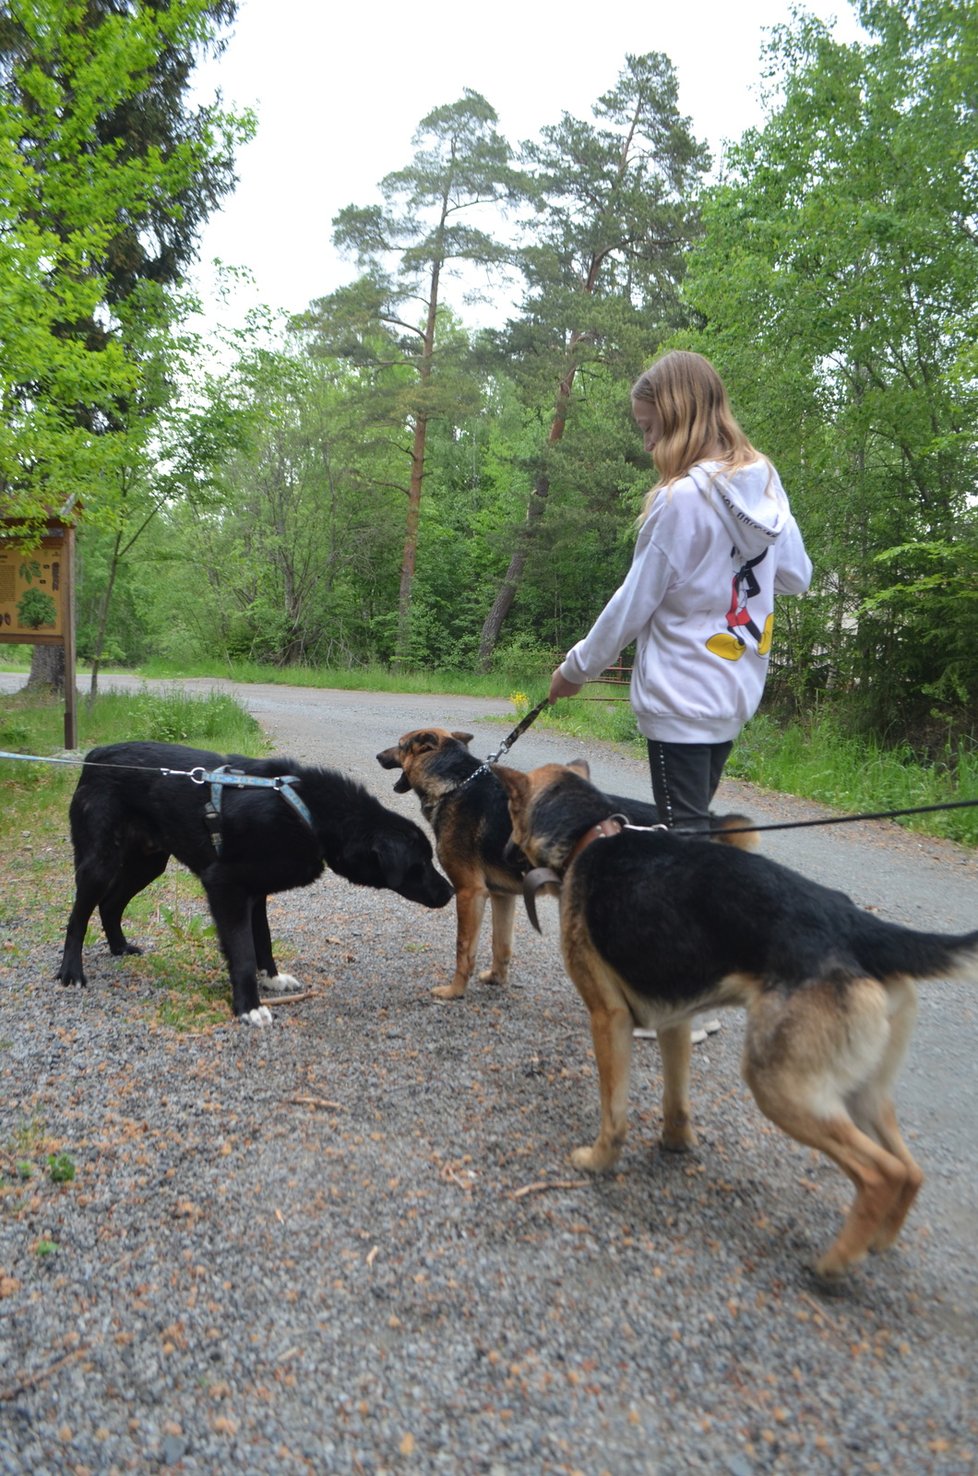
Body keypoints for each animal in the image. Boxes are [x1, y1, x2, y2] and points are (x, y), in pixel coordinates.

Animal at [63, 738, 454, 1027]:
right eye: (420, 863)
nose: (450, 892)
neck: (309, 814)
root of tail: (95, 757)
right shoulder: (225, 887)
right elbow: (243, 952)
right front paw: (248, 1006)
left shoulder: (256, 894)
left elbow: (262, 940)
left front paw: (272, 979)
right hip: (99, 863)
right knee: (78, 916)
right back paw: (71, 972)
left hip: (148, 863)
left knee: (110, 904)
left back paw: (119, 947)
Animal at [377, 729, 752, 1003]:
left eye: (400, 746)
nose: (378, 756)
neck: (456, 784)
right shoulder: (502, 896)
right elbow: (501, 946)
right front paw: (496, 980)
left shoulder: (470, 893)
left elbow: (463, 950)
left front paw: (455, 991)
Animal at [498, 761, 978, 1281]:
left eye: (509, 812)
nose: (502, 853)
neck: (591, 832)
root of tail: (858, 925)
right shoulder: (675, 1021)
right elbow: (676, 1101)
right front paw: (675, 1144)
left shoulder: (608, 1019)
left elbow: (615, 1113)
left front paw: (599, 1161)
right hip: (859, 1092)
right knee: (910, 1170)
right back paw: (877, 1242)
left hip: (779, 1088)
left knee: (881, 1173)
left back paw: (834, 1263)